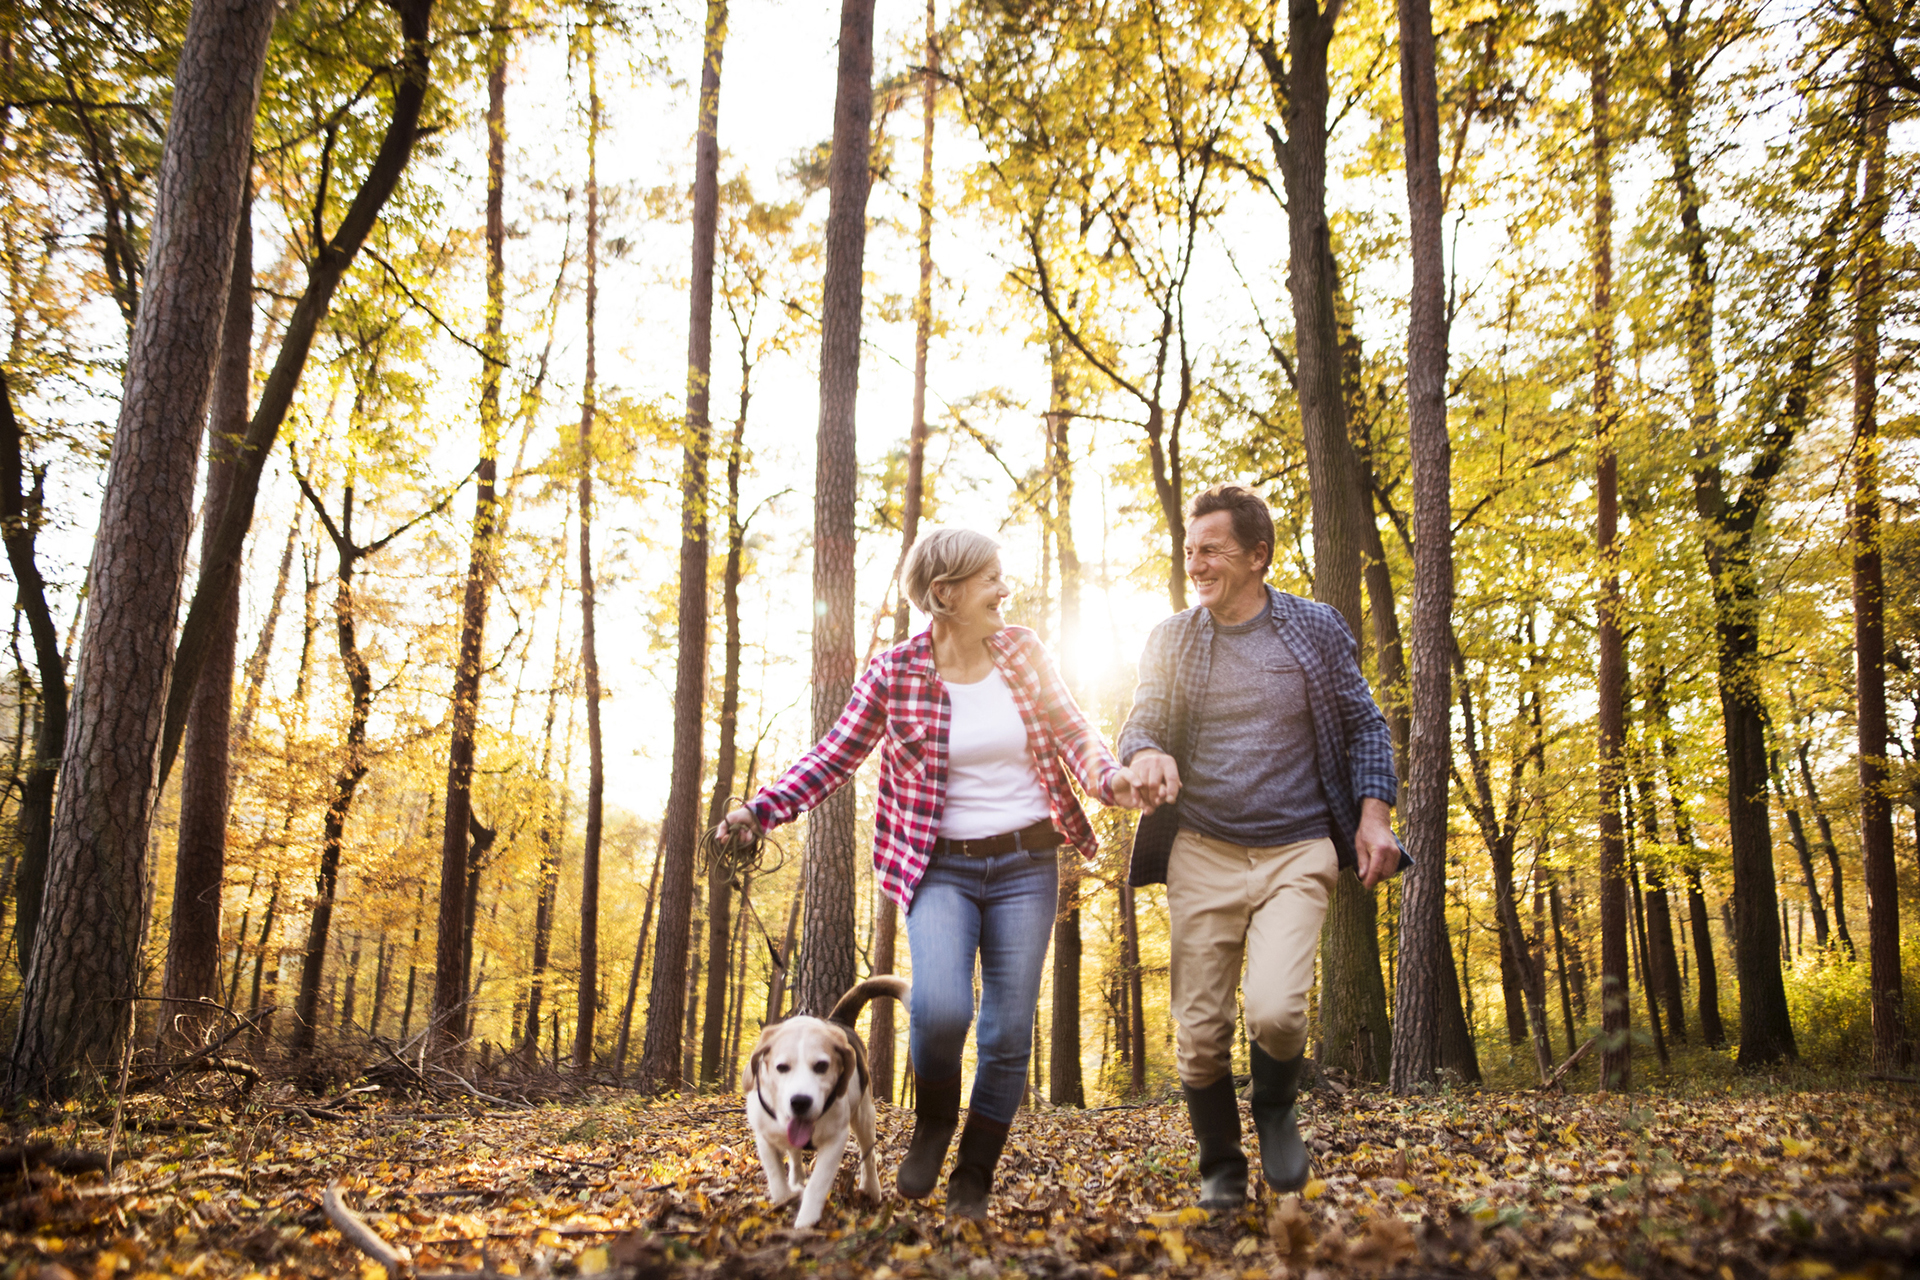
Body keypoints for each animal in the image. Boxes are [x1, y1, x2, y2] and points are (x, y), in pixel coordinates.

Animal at [741, 982, 906, 1228]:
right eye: (782, 1067)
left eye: (821, 1066)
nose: (800, 1102)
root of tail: (838, 1021)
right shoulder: (764, 1137)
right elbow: (776, 1178)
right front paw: (786, 1198)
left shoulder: (835, 1140)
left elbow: (818, 1184)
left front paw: (805, 1222)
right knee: (794, 1155)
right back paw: (796, 1179)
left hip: (865, 1116)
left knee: (868, 1156)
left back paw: (871, 1189)